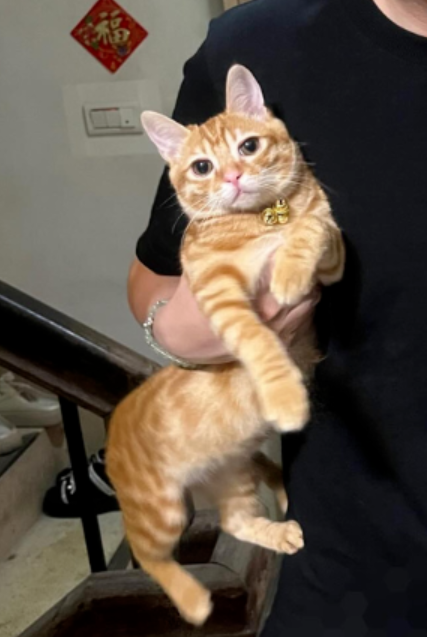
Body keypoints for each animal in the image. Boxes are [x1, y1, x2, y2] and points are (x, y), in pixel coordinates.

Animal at [106, 65, 345, 626]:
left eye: (249, 146)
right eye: (202, 166)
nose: (233, 178)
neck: (261, 219)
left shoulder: (334, 257)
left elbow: (312, 227)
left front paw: (289, 263)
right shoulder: (217, 295)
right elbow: (259, 341)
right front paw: (285, 397)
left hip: (233, 473)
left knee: (235, 521)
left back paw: (278, 531)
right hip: (161, 508)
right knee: (147, 551)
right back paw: (191, 600)